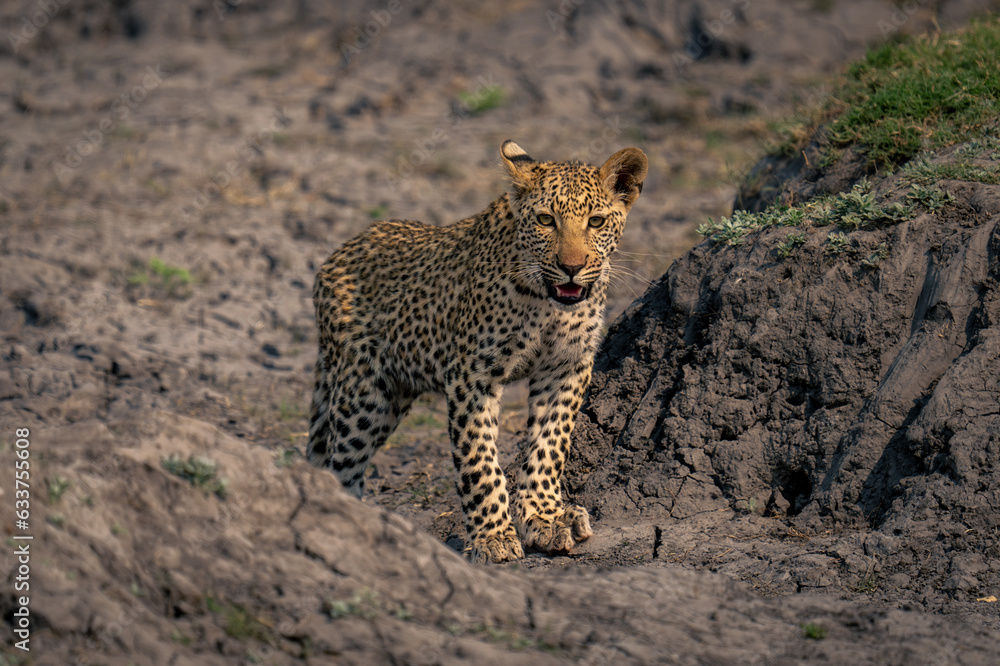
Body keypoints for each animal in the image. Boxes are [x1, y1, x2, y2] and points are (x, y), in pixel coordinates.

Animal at [307, 140, 648, 564]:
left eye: (597, 222)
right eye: (545, 220)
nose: (571, 267)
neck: (546, 304)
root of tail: (335, 256)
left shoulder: (565, 367)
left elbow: (550, 444)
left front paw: (546, 517)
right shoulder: (473, 375)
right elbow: (479, 459)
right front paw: (493, 537)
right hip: (363, 396)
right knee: (339, 464)